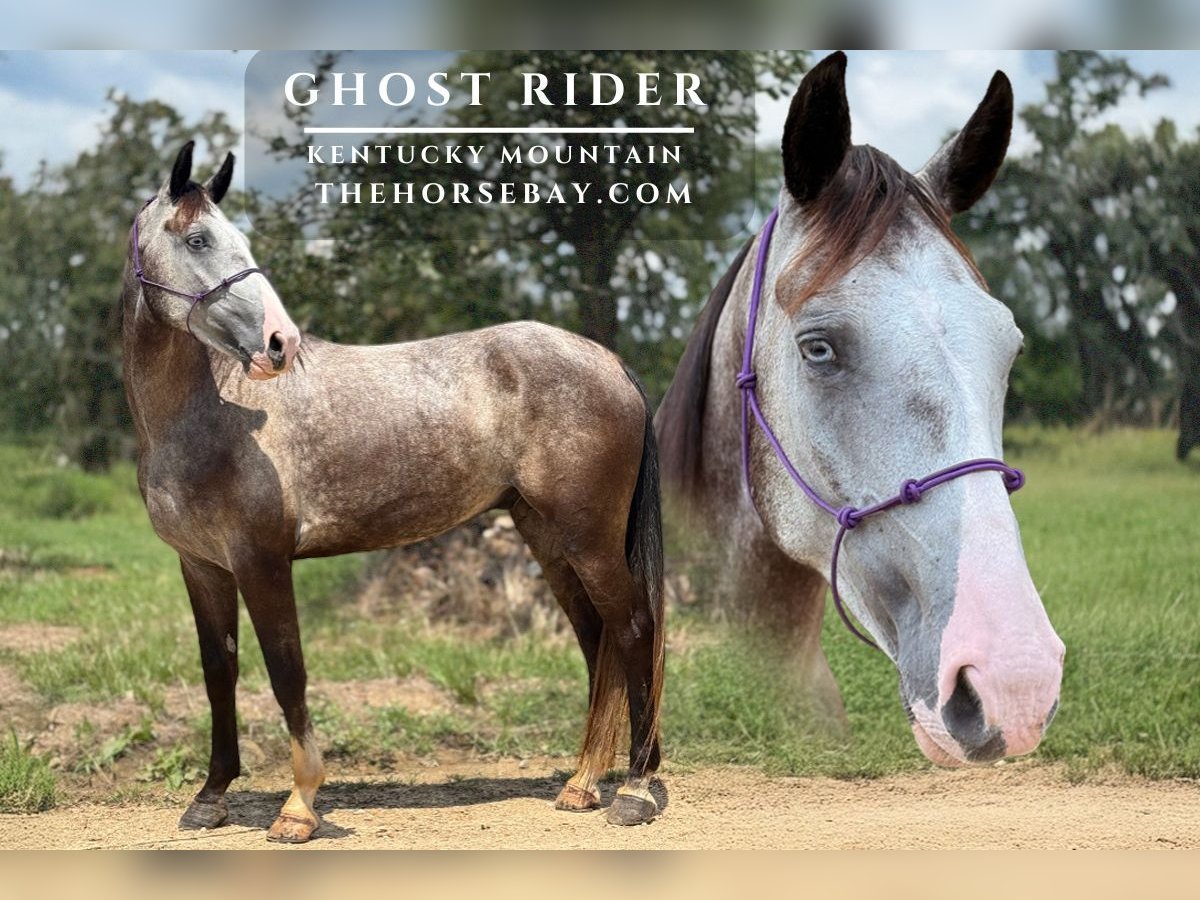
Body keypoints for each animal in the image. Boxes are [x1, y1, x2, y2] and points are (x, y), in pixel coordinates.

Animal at [120, 142, 665, 841]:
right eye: (197, 239)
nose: (280, 342)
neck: (216, 413)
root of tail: (607, 360)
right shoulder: (202, 566)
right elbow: (221, 672)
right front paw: (210, 796)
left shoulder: (262, 562)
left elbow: (287, 672)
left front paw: (298, 808)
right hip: (549, 538)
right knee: (598, 641)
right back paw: (585, 783)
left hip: (590, 538)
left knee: (633, 629)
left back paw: (639, 788)